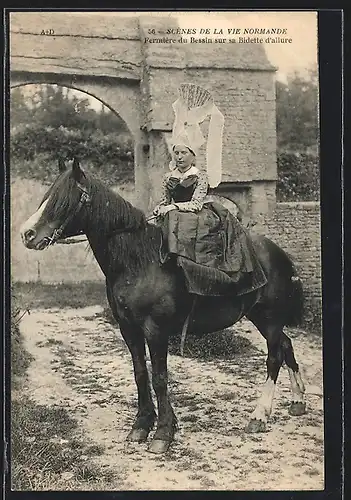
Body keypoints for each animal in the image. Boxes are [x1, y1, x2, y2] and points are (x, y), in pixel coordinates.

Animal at [20, 159, 306, 454]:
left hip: (270, 319)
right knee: (286, 345)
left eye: (62, 200)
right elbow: (140, 373)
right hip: (261, 318)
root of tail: (279, 253)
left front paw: (163, 433)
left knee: (274, 357)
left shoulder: (155, 330)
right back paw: (297, 401)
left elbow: (159, 377)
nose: (27, 234)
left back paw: (259, 415)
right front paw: (141, 425)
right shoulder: (128, 329)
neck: (139, 261)